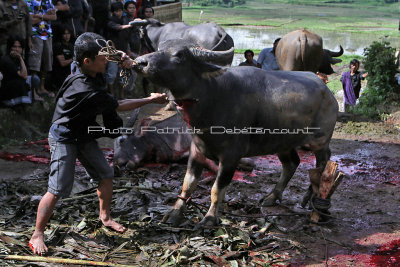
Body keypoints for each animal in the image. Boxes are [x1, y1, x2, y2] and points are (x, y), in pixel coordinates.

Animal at [131, 38, 338, 229]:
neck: (213, 96)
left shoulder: (231, 156)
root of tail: (327, 91)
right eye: (159, 48)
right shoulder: (196, 150)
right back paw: (272, 196)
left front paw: (209, 218)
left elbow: (217, 189)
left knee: (323, 164)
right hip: (282, 142)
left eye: (180, 55)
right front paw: (174, 214)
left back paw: (311, 198)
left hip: (319, 141)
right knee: (292, 163)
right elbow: (187, 184)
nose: (140, 62)